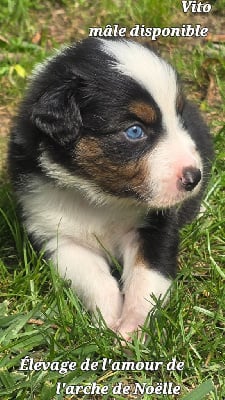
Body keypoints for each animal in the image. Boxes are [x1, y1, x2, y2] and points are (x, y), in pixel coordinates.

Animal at [8, 37, 213, 340]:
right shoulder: (57, 236)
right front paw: (107, 321)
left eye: (179, 116)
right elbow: (96, 279)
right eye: (134, 131)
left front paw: (133, 327)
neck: (103, 198)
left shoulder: (154, 226)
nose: (193, 177)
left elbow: (146, 278)